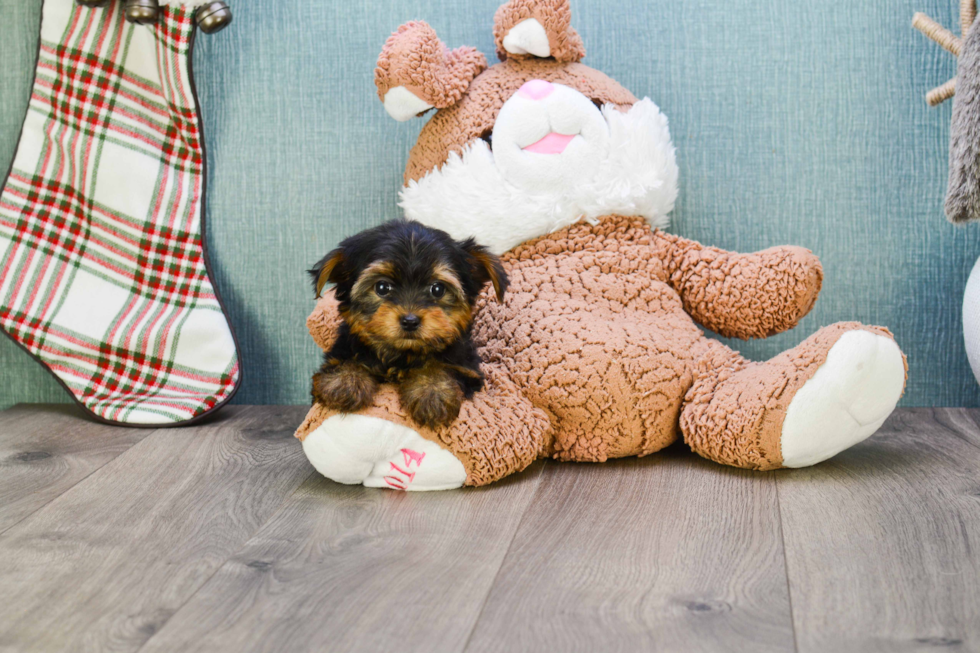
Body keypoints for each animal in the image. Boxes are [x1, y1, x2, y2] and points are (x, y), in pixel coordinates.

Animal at [310, 220, 510, 428]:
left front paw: (432, 391)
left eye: (437, 289)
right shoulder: (340, 352)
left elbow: (442, 368)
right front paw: (345, 381)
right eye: (382, 287)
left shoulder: (468, 370)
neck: (403, 354)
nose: (410, 321)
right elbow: (346, 360)